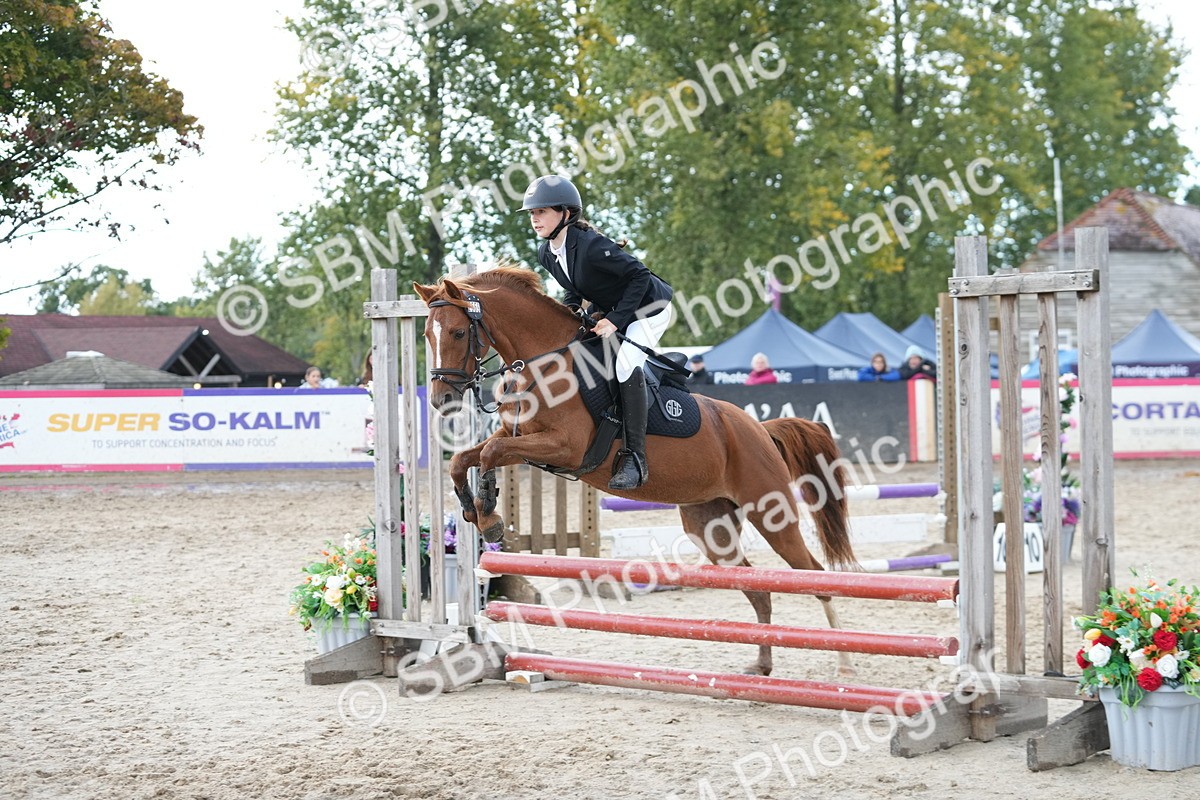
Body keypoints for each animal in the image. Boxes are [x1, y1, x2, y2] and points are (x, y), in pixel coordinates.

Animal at [413, 266, 859, 676]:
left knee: (815, 577)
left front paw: (489, 516)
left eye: (457, 333)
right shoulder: (519, 438)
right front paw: (474, 510)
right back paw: (762, 665)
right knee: (757, 587)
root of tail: (761, 429)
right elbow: (465, 458)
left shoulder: (565, 446)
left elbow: (490, 452)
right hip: (709, 525)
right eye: (427, 336)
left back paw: (845, 663)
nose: (441, 400)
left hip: (771, 511)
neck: (546, 363)